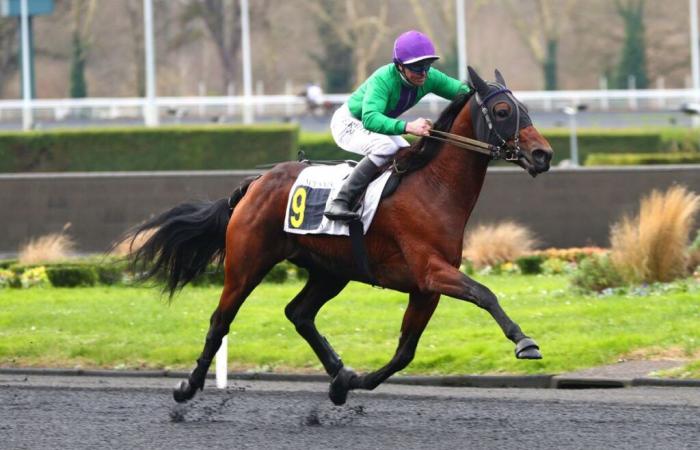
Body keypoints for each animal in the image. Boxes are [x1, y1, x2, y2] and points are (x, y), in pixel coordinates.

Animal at [126, 67, 552, 408]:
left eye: (525, 108)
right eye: (503, 111)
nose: (543, 154)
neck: (433, 187)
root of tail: (255, 183)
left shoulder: (425, 288)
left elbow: (405, 351)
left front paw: (351, 382)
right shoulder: (431, 271)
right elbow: (485, 294)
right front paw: (524, 341)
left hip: (331, 270)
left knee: (299, 314)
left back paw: (339, 374)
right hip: (247, 264)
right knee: (220, 321)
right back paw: (188, 387)